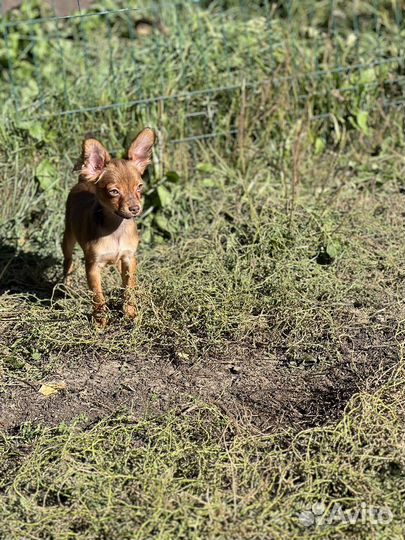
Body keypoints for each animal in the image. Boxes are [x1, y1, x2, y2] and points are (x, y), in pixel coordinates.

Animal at [62, 127, 155, 324]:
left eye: (139, 187)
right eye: (114, 192)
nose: (135, 208)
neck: (116, 228)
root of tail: (84, 180)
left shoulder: (129, 258)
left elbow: (129, 288)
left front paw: (129, 312)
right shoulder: (92, 266)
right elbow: (98, 295)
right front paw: (100, 320)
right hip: (68, 238)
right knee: (68, 261)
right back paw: (66, 286)